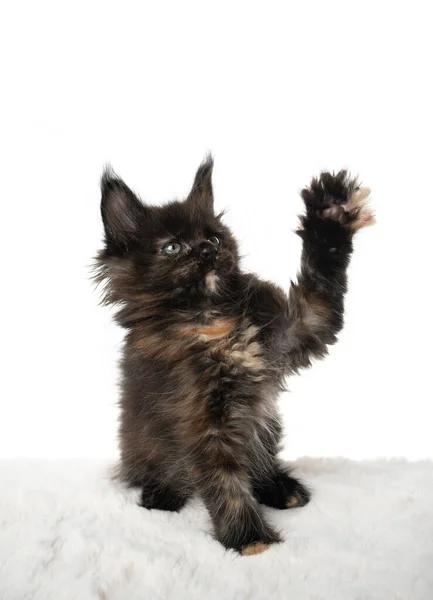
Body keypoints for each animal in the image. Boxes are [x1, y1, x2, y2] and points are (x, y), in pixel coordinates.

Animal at [94, 157, 372, 556]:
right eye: (172, 247)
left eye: (213, 238)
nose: (207, 251)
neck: (212, 321)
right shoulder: (201, 422)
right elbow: (226, 483)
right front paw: (251, 540)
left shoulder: (303, 326)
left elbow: (320, 284)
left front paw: (330, 213)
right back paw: (161, 494)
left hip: (266, 425)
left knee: (260, 461)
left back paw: (279, 487)